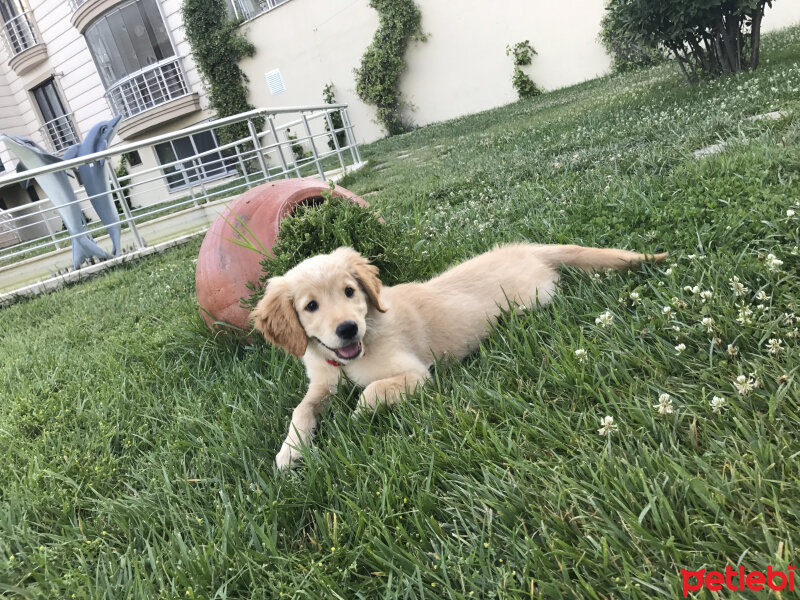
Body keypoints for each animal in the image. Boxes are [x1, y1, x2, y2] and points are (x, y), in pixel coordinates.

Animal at [253, 244, 664, 468]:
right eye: (311, 306)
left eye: (350, 291)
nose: (347, 329)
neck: (352, 355)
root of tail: (525, 248)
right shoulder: (323, 381)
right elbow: (301, 410)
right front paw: (289, 453)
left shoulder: (415, 374)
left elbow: (370, 392)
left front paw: (353, 419)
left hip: (532, 299)